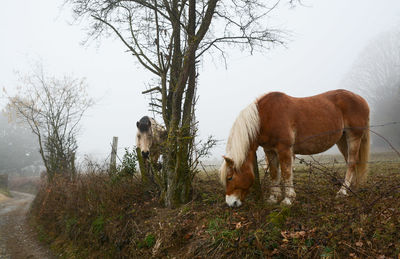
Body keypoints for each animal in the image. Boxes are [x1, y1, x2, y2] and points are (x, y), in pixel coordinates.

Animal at [220, 90, 370, 208]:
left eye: (230, 177)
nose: (230, 203)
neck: (265, 117)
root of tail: (361, 99)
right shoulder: (270, 151)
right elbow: (274, 174)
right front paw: (273, 198)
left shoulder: (284, 149)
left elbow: (286, 173)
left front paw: (288, 199)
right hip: (342, 140)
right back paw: (352, 188)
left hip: (353, 137)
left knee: (351, 163)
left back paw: (342, 192)